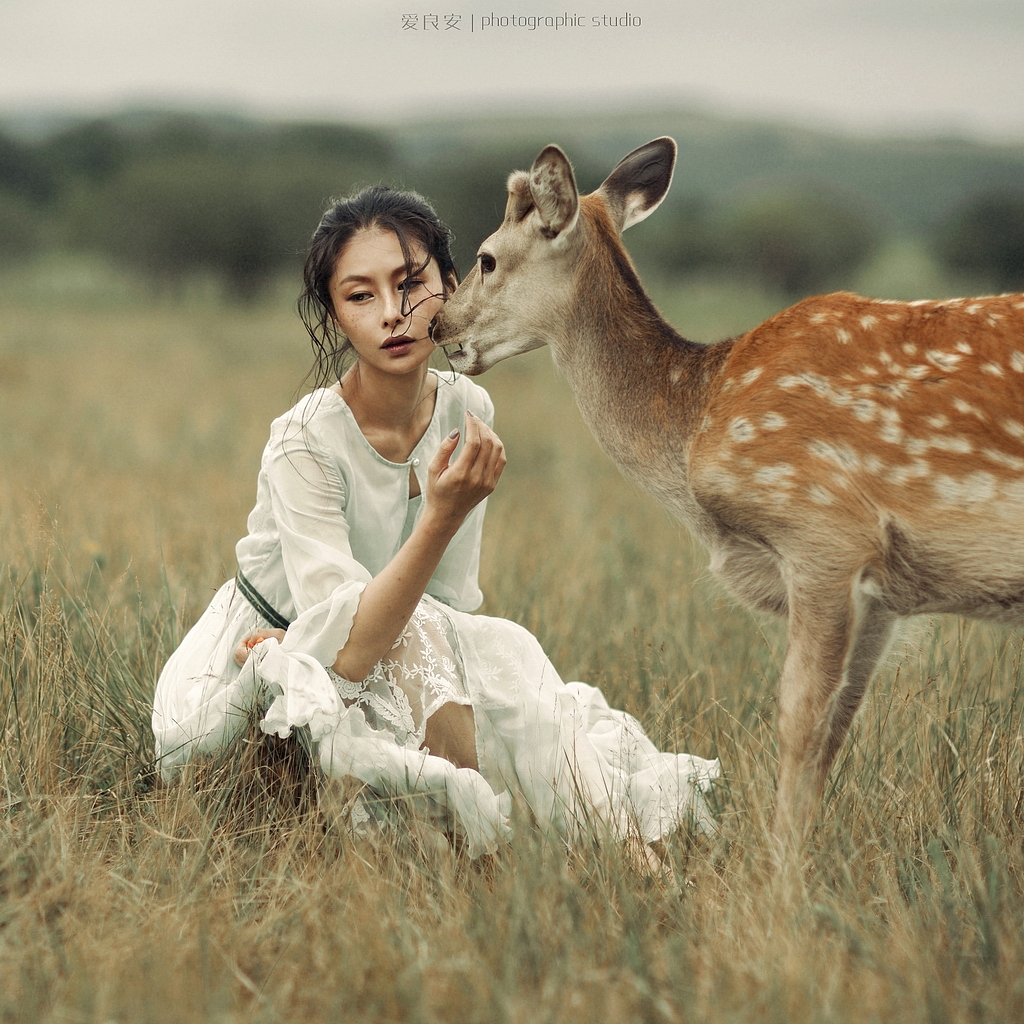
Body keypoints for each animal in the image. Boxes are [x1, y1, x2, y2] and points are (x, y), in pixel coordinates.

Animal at [430, 136, 1024, 849]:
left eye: (487, 256)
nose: (437, 324)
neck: (696, 420)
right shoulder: (884, 595)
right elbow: (837, 727)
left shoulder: (823, 532)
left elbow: (799, 721)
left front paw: (780, 871)